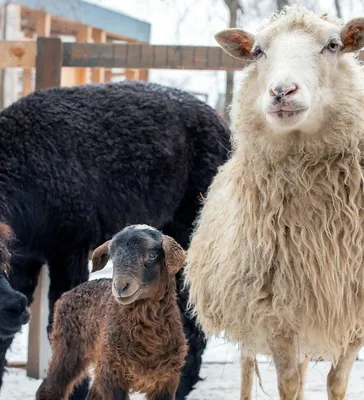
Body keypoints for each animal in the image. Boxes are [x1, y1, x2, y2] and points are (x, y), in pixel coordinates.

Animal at [36, 225, 189, 400]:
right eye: (113, 257)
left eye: (152, 255)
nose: (120, 286)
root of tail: (66, 295)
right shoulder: (114, 373)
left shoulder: (166, 378)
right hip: (68, 348)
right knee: (50, 388)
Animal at [185, 6, 364, 400]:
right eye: (258, 51)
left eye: (333, 45)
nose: (282, 91)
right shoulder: (275, 315)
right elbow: (289, 385)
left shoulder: (351, 311)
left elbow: (337, 383)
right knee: (248, 366)